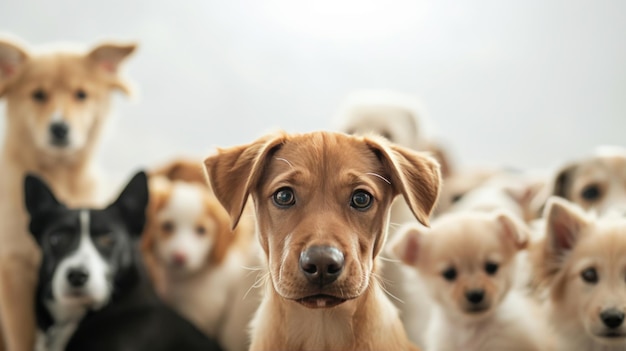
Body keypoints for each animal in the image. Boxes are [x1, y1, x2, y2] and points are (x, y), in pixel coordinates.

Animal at [0, 36, 135, 351]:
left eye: (81, 95)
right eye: (38, 95)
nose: (59, 128)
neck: (58, 174)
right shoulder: (13, 270)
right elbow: (21, 336)